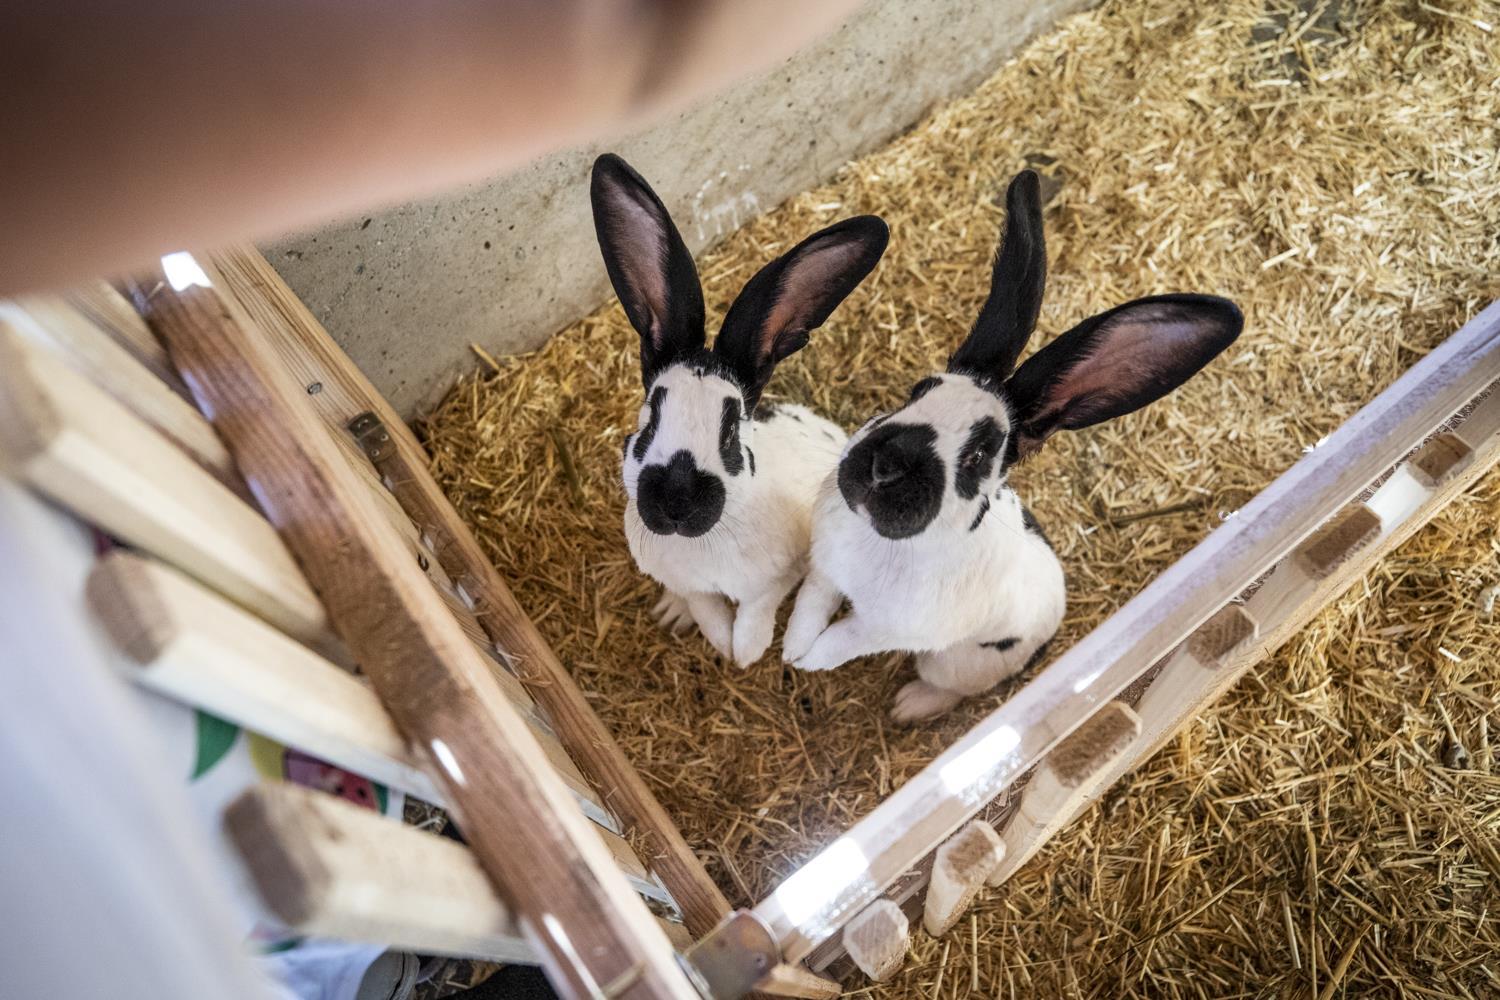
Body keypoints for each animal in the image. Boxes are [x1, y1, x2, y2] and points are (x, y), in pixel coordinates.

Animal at [591, 154, 889, 666]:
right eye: (650, 418)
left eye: (730, 429)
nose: (676, 503)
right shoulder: (688, 583)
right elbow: (705, 607)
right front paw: (714, 637)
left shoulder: (777, 576)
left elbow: (754, 614)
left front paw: (744, 653)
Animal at [782, 169, 1243, 722]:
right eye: (917, 392)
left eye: (982, 453)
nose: (885, 467)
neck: (880, 539)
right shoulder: (826, 570)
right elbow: (811, 606)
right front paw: (791, 651)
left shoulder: (883, 628)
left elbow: (842, 640)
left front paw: (809, 662)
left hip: (954, 662)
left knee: (948, 686)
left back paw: (909, 706)